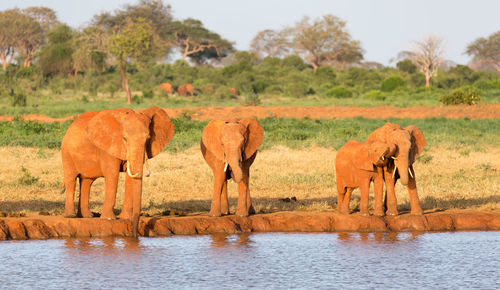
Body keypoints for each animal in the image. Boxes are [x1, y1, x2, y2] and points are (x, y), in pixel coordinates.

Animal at [60, 105, 175, 237]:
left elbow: (130, 177)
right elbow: (112, 175)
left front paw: (125, 218)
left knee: (87, 181)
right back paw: (71, 216)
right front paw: (108, 219)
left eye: (148, 139)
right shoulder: (108, 147)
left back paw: (87, 216)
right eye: (124, 138)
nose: (135, 234)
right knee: (71, 178)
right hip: (66, 152)